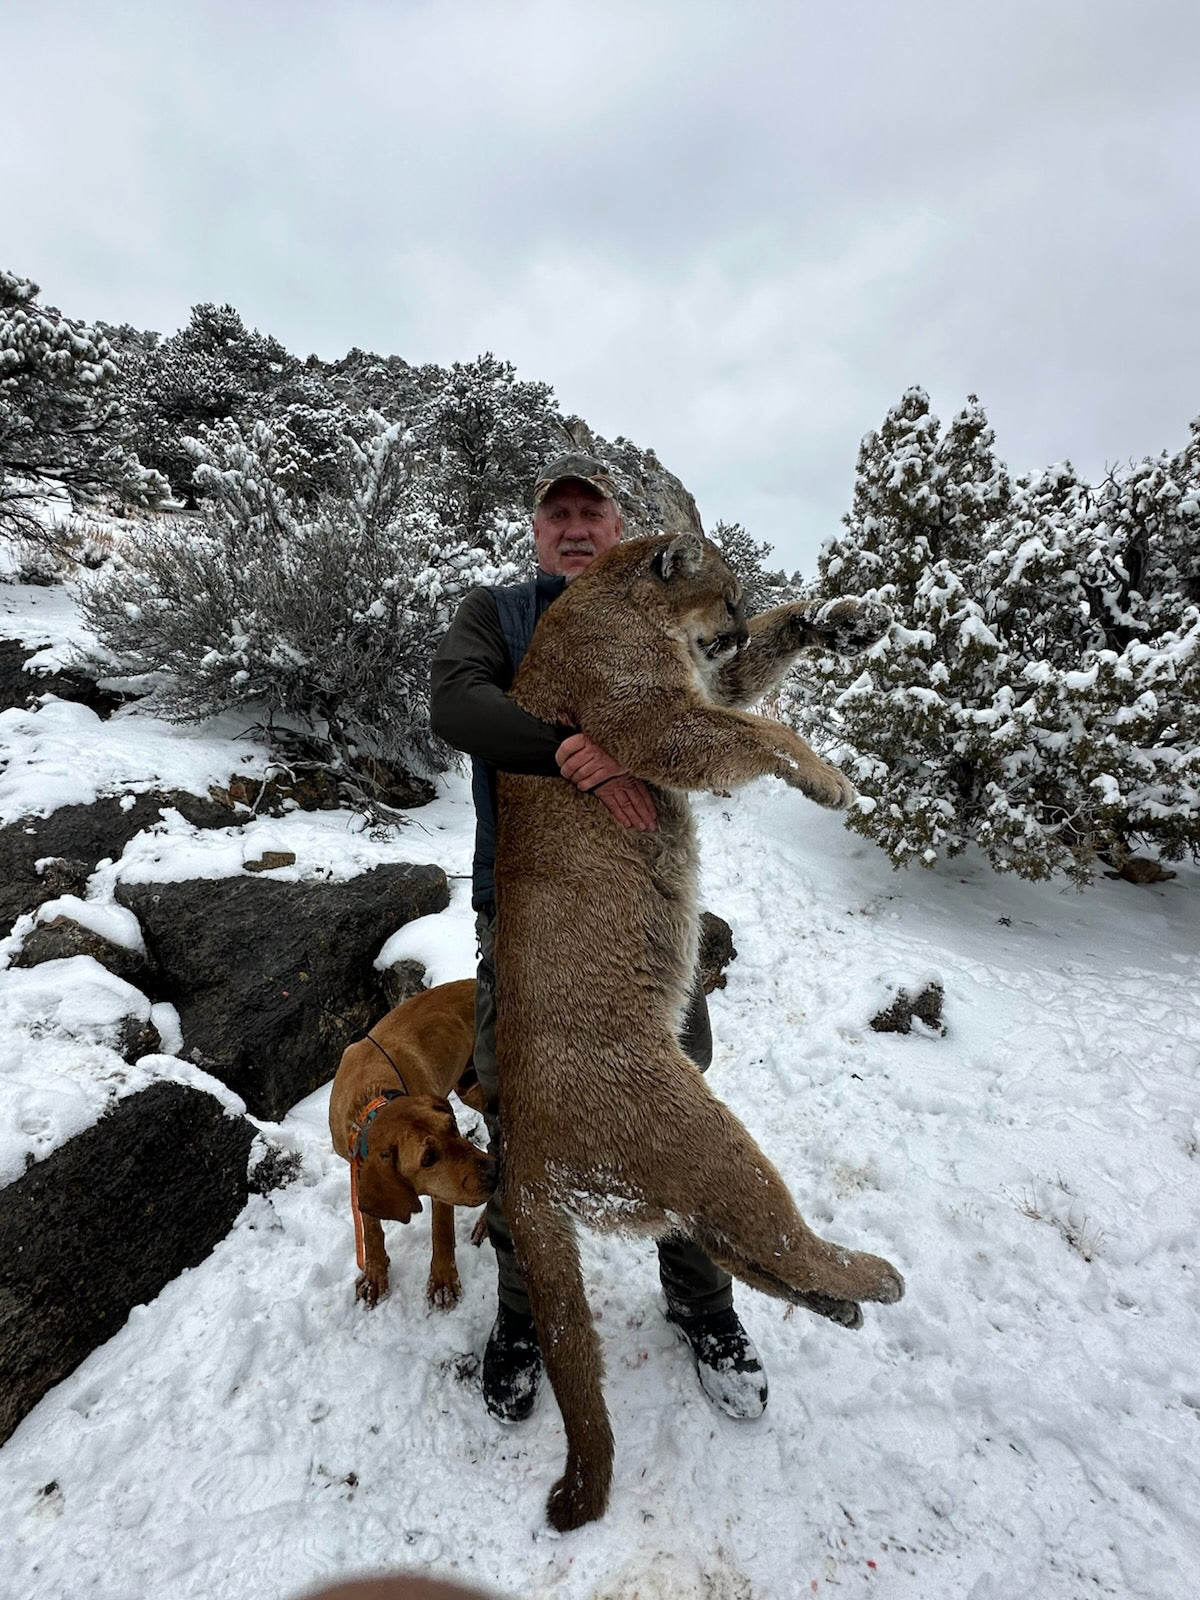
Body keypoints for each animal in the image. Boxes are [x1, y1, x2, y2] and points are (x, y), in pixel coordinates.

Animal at [493, 532, 904, 1531]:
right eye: (723, 591)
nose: (731, 626)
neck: (608, 599)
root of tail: (524, 1156)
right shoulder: (651, 720)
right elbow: (761, 733)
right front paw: (830, 780)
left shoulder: (701, 692)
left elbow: (747, 693)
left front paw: (833, 617)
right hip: (704, 1135)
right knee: (780, 1235)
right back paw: (872, 1277)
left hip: (680, 1180)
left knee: (733, 1248)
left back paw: (843, 1306)